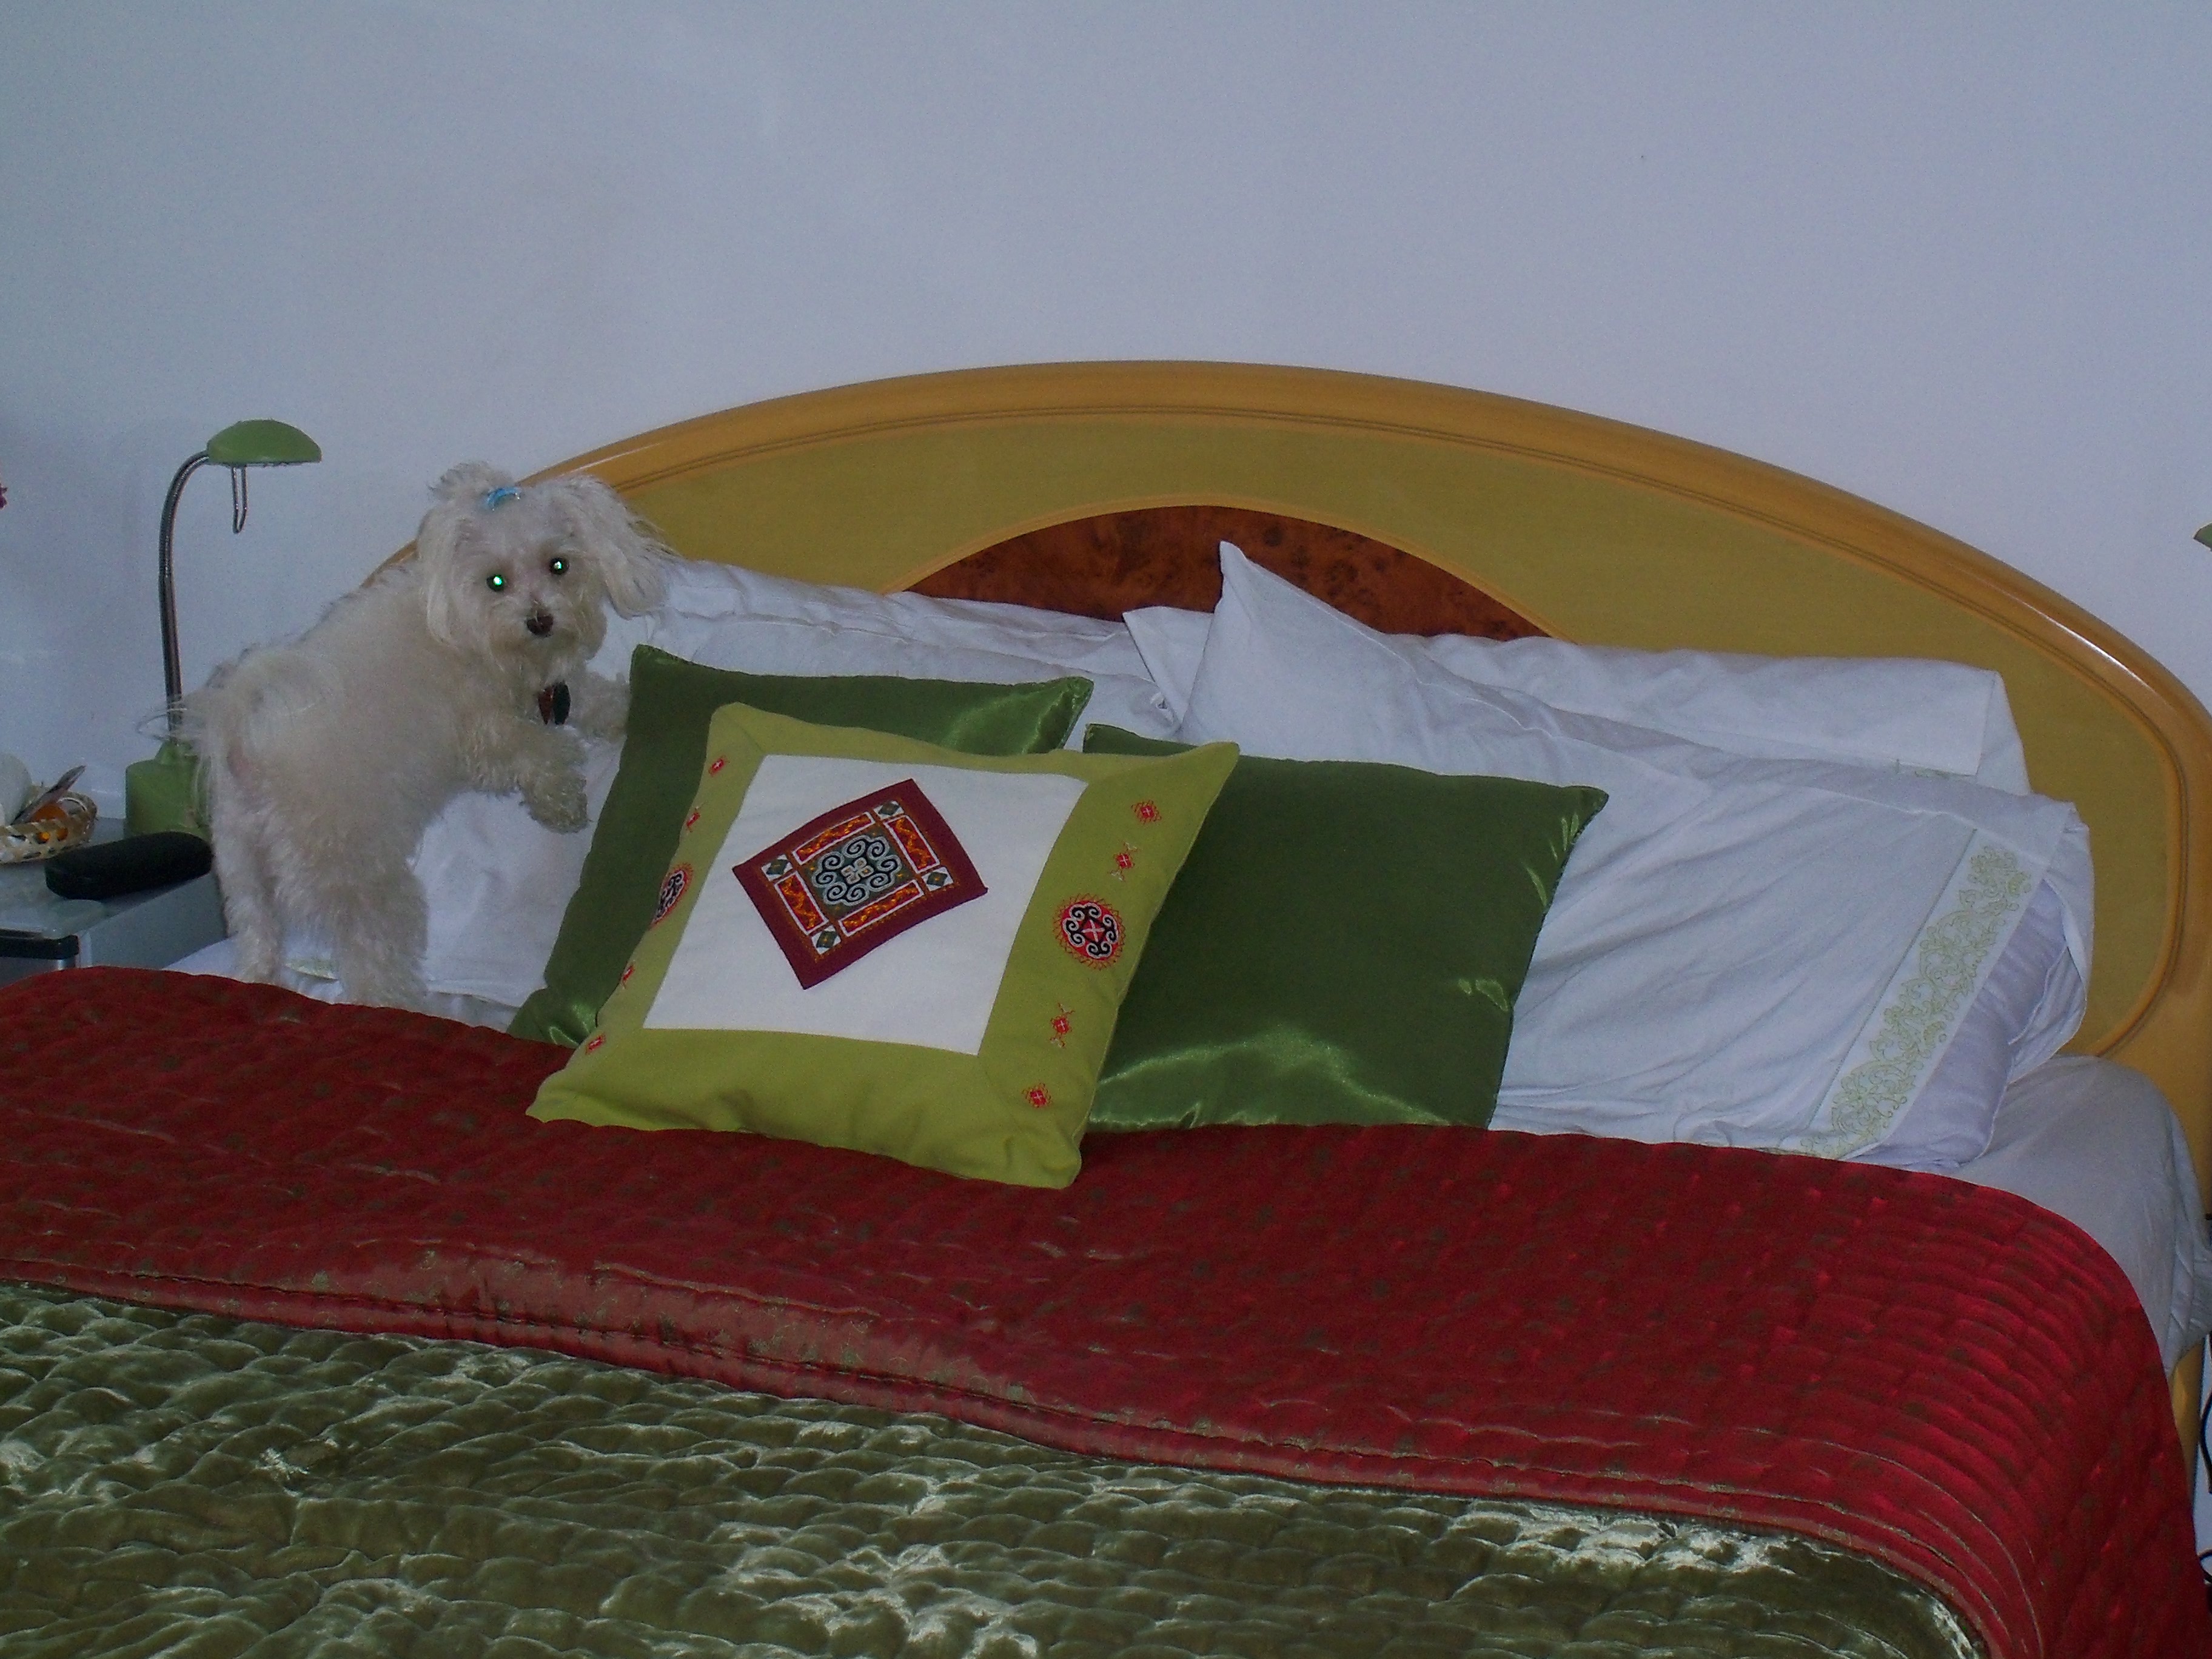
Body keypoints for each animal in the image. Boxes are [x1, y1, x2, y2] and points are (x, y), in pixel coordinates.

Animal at [188, 463, 670, 1010]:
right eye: (496, 581)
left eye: (559, 565)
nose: (540, 620)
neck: (469, 627)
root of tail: (244, 749)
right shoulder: (486, 735)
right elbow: (542, 750)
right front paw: (562, 805)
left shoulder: (547, 689)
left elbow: (588, 698)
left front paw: (626, 710)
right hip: (364, 883)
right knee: (373, 972)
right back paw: (399, 1007)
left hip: (244, 878)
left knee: (258, 942)